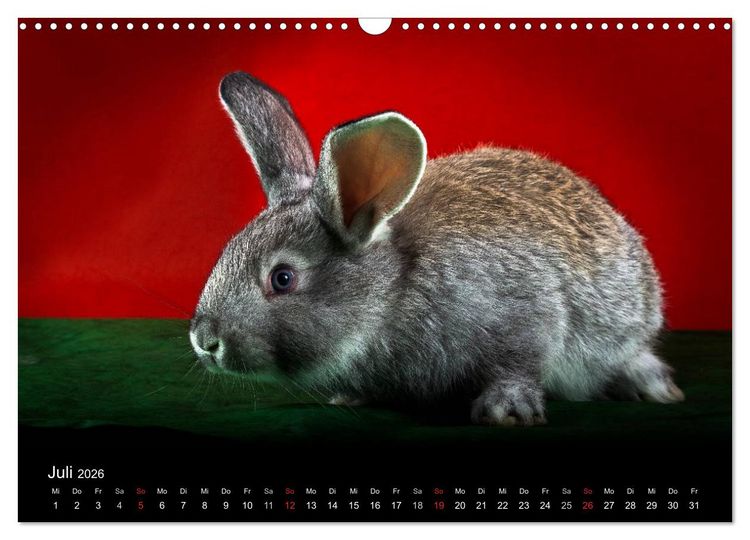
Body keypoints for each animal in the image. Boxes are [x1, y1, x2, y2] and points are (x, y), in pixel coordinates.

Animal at [190, 71, 685, 426]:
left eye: (283, 278)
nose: (204, 341)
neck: (394, 290)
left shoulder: (524, 315)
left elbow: (518, 364)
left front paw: (506, 412)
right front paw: (351, 396)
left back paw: (655, 388)